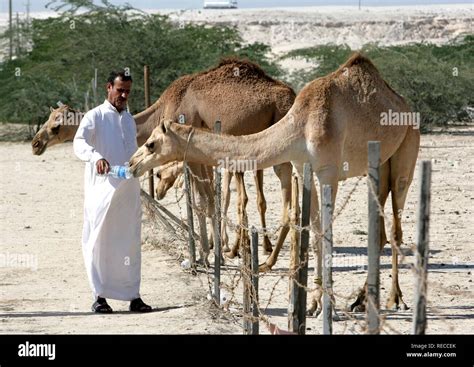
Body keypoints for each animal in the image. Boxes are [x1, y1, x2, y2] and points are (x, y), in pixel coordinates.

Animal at [129, 52, 418, 314]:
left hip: (405, 152)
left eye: (151, 144)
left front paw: (327, 305)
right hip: (378, 166)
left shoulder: (328, 170)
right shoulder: (303, 166)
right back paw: (361, 299)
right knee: (380, 228)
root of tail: (406, 106)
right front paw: (313, 302)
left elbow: (324, 232)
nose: (132, 163)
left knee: (396, 224)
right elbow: (314, 230)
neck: (300, 125)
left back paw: (394, 298)